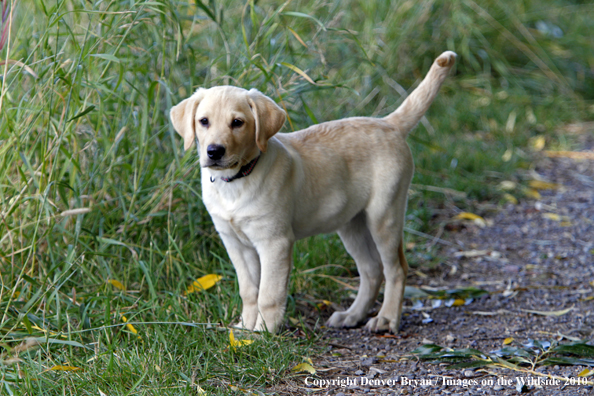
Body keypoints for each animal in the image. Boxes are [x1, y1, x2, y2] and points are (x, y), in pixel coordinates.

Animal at [169, 50, 456, 334]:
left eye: (237, 123)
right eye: (203, 121)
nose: (214, 152)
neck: (238, 180)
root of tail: (389, 123)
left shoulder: (275, 242)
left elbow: (268, 294)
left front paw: (264, 333)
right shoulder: (234, 242)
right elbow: (249, 291)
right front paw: (244, 330)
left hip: (384, 215)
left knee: (395, 268)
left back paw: (386, 320)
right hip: (352, 223)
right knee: (371, 269)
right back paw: (352, 315)